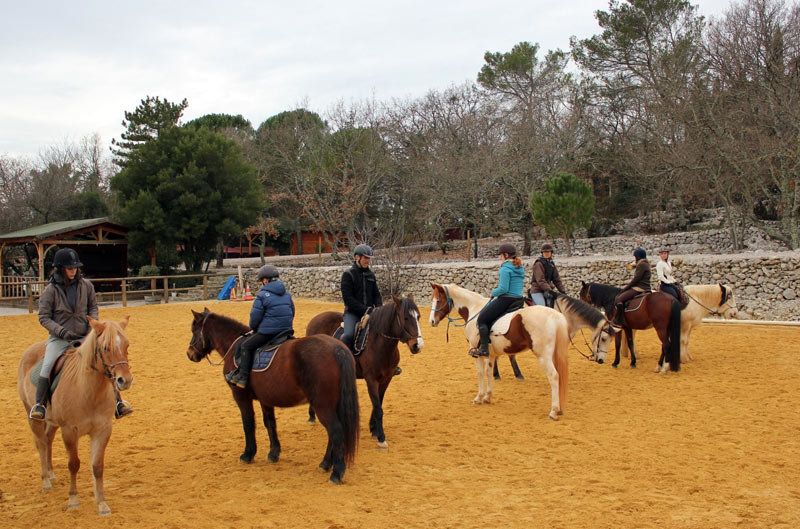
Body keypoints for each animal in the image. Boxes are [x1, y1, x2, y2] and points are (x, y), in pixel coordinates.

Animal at [16, 316, 134, 512]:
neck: (89, 392)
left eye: (126, 345)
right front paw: (73, 501)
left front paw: (102, 504)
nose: (125, 380)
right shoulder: (70, 431)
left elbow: (97, 466)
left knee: (47, 440)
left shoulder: (102, 430)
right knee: (40, 444)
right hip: (32, 416)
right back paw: (46, 481)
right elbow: (73, 464)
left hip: (53, 421)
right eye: (105, 347)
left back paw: (51, 473)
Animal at [186, 308, 358, 484]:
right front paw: (274, 453)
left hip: (322, 405)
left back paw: (336, 472)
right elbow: (270, 423)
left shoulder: (241, 396)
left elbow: (248, 423)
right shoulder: (265, 399)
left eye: (194, 330)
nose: (189, 354)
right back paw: (326, 463)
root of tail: (337, 348)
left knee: (335, 431)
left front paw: (248, 454)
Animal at [304, 294, 422, 448]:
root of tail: (315, 319)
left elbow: (379, 403)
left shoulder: (386, 379)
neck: (379, 343)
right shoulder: (371, 379)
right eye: (406, 318)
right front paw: (381, 438)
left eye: (418, 317)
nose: (417, 345)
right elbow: (377, 408)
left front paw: (374, 429)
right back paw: (312, 415)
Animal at [432, 282, 568, 418]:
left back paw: (554, 411)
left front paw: (479, 397)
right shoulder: (490, 354)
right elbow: (489, 372)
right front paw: (487, 397)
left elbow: (480, 373)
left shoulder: (476, 353)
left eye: (438, 300)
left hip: (543, 357)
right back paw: (559, 409)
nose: (432, 321)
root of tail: (555, 316)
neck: (474, 308)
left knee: (554, 376)